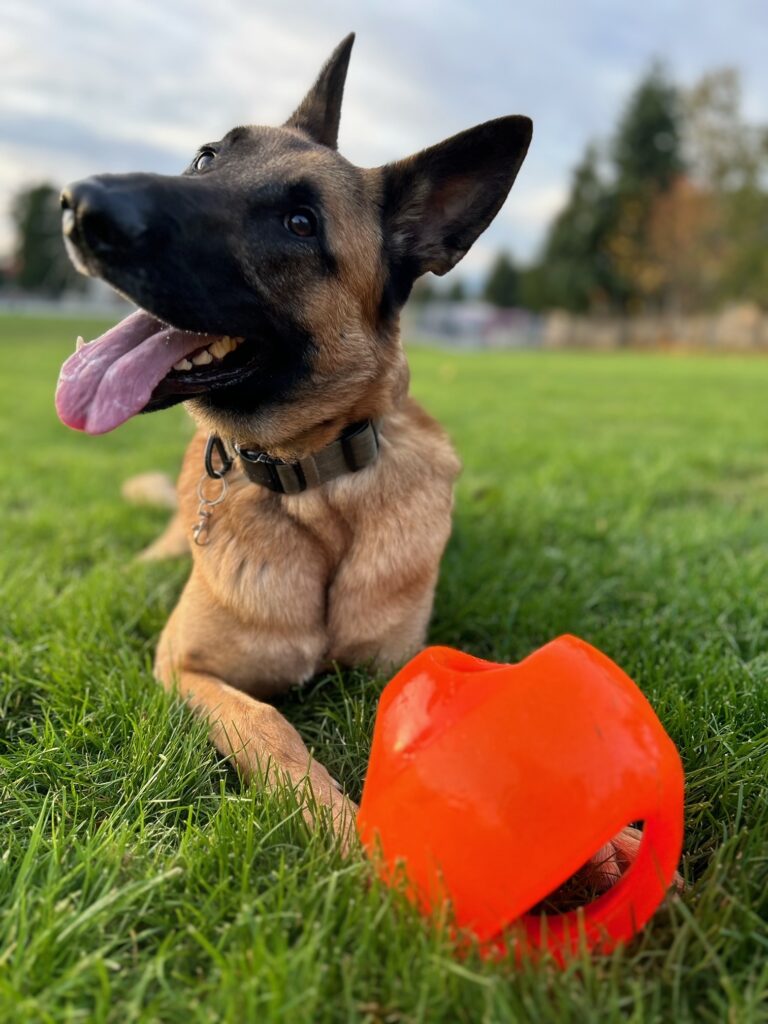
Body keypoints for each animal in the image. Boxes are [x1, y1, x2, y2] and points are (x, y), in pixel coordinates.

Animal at [55, 36, 655, 888]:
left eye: (301, 223)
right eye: (206, 158)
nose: (80, 204)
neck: (312, 490)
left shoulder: (393, 664)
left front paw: (600, 842)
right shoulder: (188, 669)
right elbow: (270, 726)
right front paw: (343, 833)